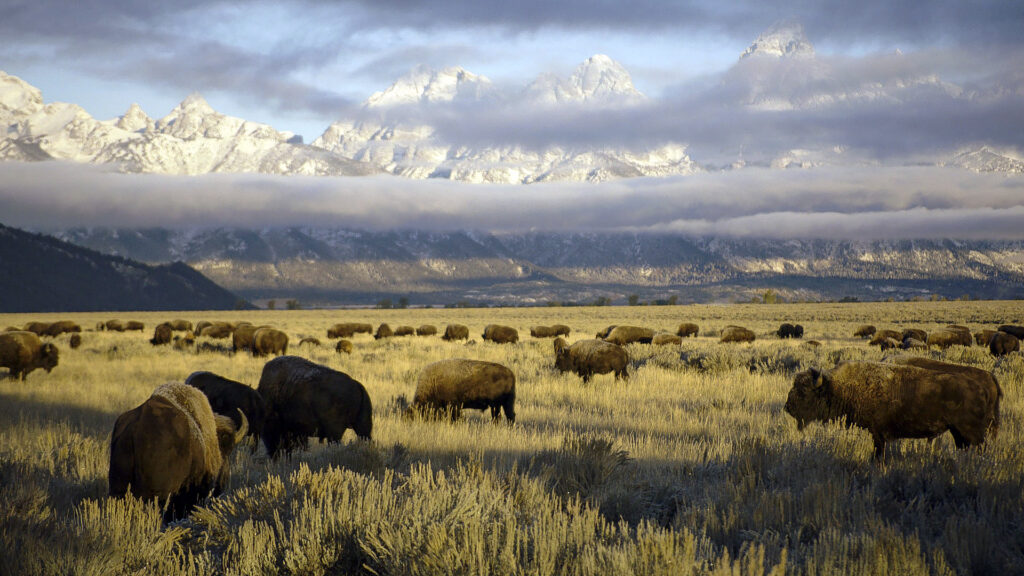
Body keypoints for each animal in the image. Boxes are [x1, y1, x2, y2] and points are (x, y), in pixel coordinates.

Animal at [785, 360, 1000, 460]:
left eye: (803, 390)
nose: (787, 407)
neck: (840, 386)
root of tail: (983, 388)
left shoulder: (879, 434)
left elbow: (878, 454)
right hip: (958, 433)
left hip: (972, 433)